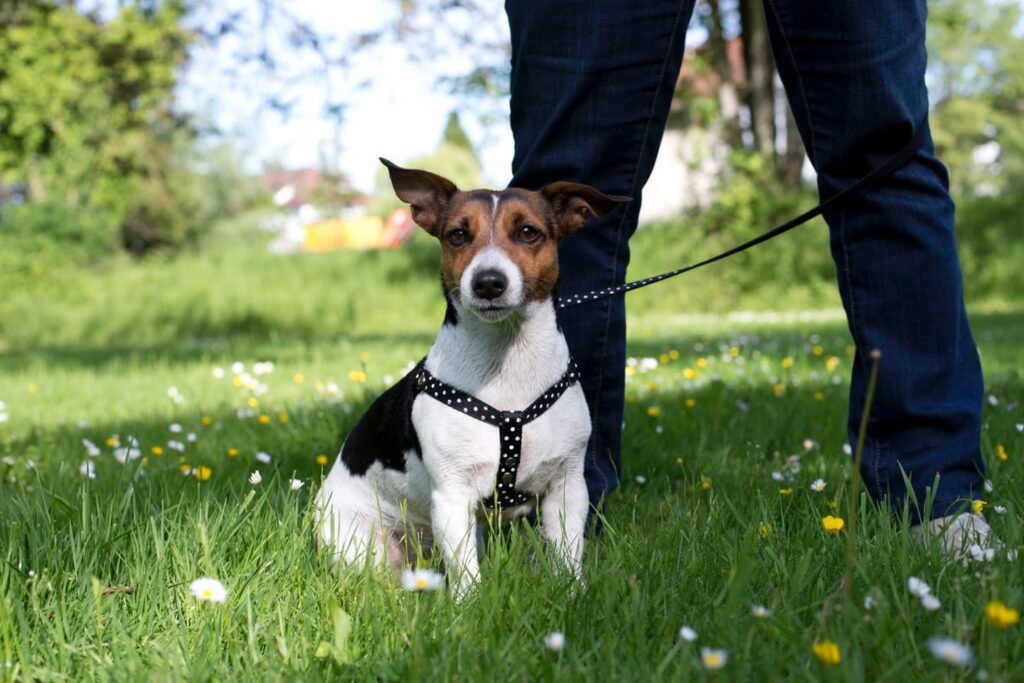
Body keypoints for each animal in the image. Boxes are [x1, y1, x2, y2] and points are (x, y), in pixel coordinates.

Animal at [315, 160, 626, 598]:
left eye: (527, 232)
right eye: (458, 235)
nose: (489, 282)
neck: (508, 363)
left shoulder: (567, 485)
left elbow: (567, 552)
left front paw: (574, 594)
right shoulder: (452, 495)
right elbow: (466, 575)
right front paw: (469, 609)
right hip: (361, 543)